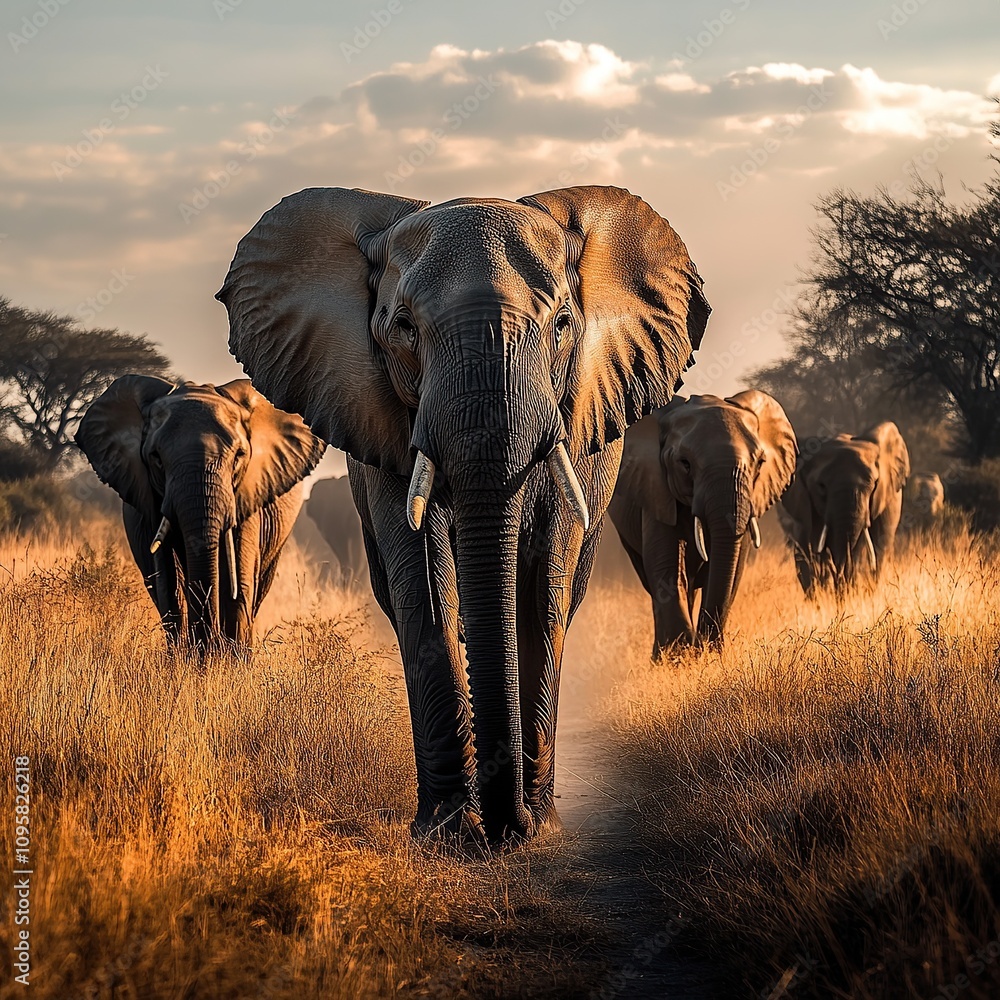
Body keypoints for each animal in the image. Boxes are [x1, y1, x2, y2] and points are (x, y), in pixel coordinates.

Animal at [76, 378, 326, 651]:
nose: (209, 647)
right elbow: (169, 583)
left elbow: (240, 583)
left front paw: (227, 660)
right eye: (156, 459)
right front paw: (188, 659)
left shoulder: (248, 494)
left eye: (239, 456)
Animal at [216, 184, 710, 845]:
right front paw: (449, 831)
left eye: (562, 324)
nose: (507, 826)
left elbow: (542, 587)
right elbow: (423, 582)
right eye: (402, 327)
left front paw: (534, 827)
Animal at [609, 391, 797, 653]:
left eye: (760, 463)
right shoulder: (658, 493)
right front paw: (682, 655)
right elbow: (667, 570)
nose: (704, 643)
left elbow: (731, 571)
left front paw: (708, 652)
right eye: (684, 463)